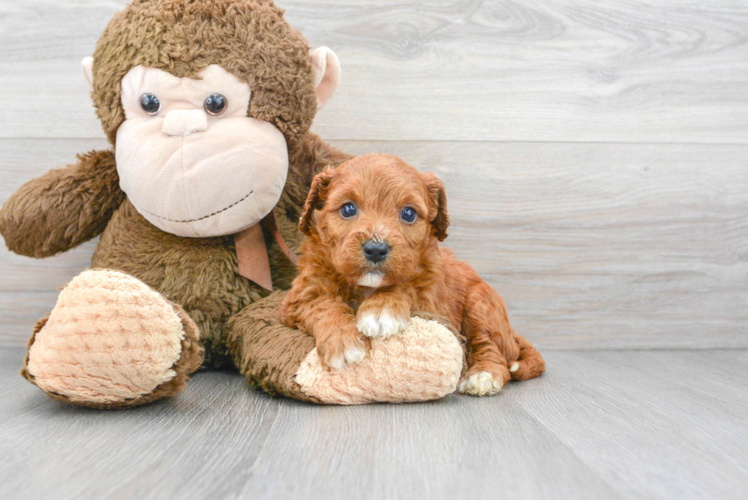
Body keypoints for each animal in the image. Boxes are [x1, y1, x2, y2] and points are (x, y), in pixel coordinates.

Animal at [280, 154, 544, 396]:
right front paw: (344, 343)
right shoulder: (301, 293)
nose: (376, 249)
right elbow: (323, 304)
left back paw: (483, 376)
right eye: (348, 208)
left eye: (408, 213)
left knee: (491, 348)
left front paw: (381, 309)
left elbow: (408, 285)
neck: (367, 286)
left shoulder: (432, 297)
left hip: (481, 304)